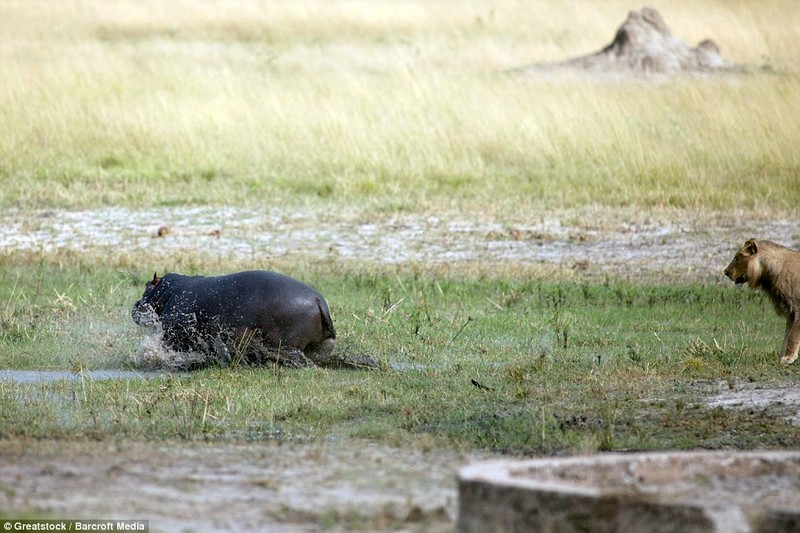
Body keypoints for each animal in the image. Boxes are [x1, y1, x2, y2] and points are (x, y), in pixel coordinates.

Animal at [130, 270, 336, 366]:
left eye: (148, 285)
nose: (135, 304)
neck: (167, 292)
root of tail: (319, 301)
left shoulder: (172, 336)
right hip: (324, 344)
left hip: (287, 341)